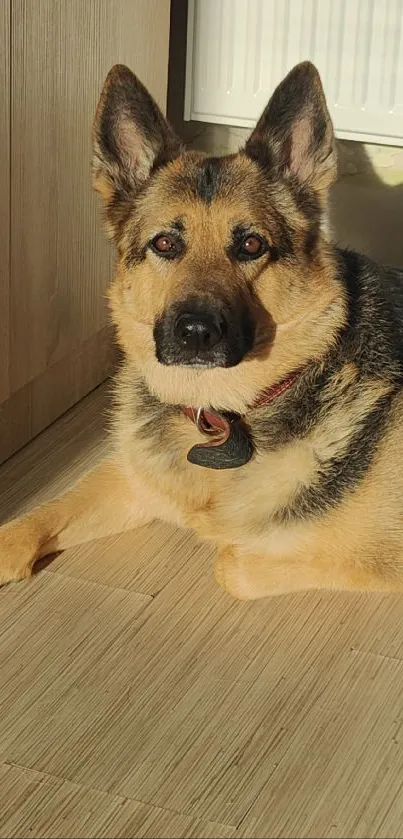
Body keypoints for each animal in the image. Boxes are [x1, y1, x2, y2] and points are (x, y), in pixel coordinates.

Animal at [2, 62, 403, 600]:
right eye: (165, 244)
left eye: (252, 244)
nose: (195, 332)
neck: (225, 412)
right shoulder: (131, 476)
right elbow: (26, 526)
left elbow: (231, 561)